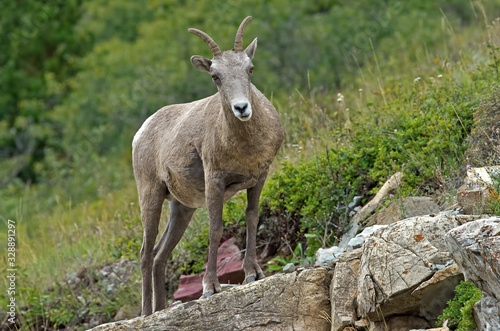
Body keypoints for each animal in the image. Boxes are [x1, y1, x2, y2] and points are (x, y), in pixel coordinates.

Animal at [131, 16, 284, 316]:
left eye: (250, 69)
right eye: (215, 77)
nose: (241, 108)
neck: (243, 145)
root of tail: (140, 133)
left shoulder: (259, 177)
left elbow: (252, 217)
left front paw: (253, 273)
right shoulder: (215, 182)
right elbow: (216, 229)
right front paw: (210, 288)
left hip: (182, 208)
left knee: (159, 255)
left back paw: (162, 309)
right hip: (150, 196)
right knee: (145, 253)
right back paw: (147, 313)